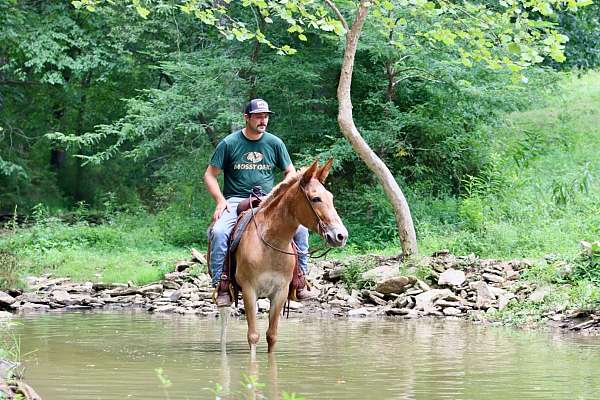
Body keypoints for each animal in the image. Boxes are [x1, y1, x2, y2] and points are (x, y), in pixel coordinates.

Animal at [233, 158, 346, 354]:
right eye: (315, 198)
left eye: (331, 197)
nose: (341, 236)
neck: (270, 244)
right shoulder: (249, 290)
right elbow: (253, 336)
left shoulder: (280, 292)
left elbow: (271, 336)